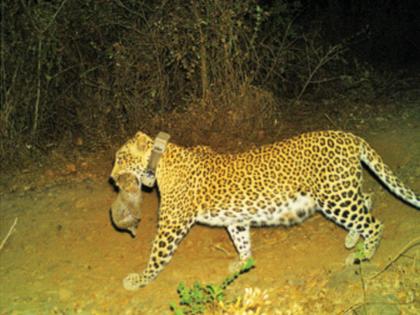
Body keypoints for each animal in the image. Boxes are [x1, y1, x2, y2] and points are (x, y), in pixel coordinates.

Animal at [110, 130, 418, 292]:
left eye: (120, 158)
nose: (112, 178)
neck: (160, 162)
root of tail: (349, 136)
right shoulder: (235, 219)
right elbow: (241, 240)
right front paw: (243, 263)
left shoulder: (171, 225)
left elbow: (156, 256)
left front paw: (139, 279)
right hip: (343, 190)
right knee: (367, 198)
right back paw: (354, 239)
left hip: (334, 197)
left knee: (374, 222)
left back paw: (363, 254)